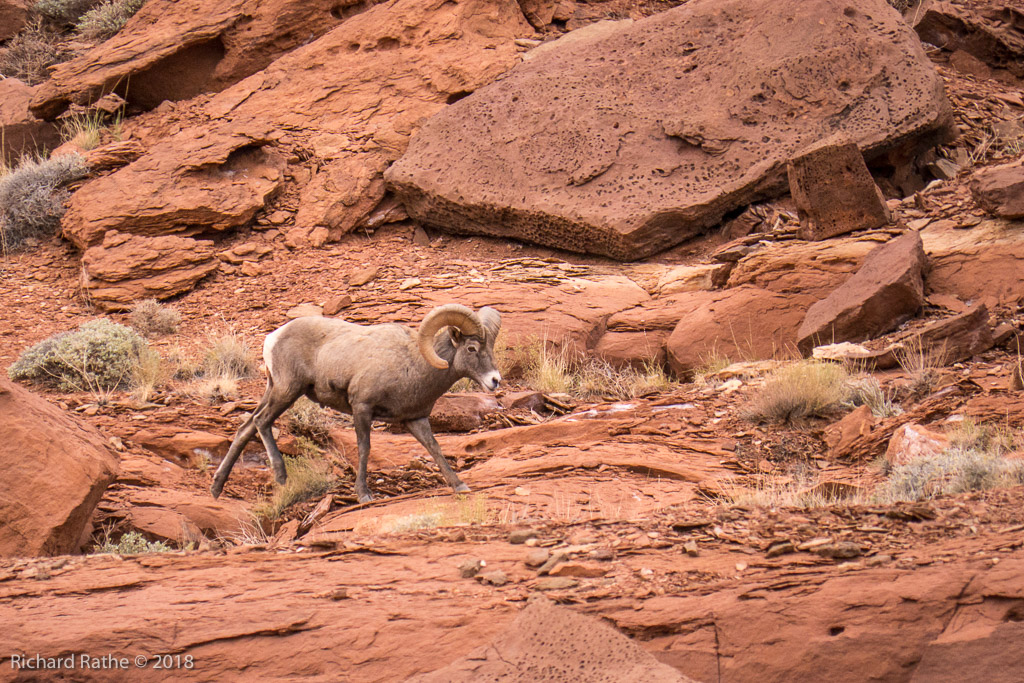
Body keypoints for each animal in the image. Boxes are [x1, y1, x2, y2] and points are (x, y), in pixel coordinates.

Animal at [209, 305, 501, 501]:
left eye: (490, 349)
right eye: (471, 349)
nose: (495, 380)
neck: (414, 365)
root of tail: (273, 337)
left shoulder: (415, 419)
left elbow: (435, 449)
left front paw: (459, 485)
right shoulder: (362, 408)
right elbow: (364, 449)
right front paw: (363, 494)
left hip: (275, 390)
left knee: (246, 427)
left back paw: (216, 488)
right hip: (287, 391)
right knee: (261, 422)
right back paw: (280, 476)